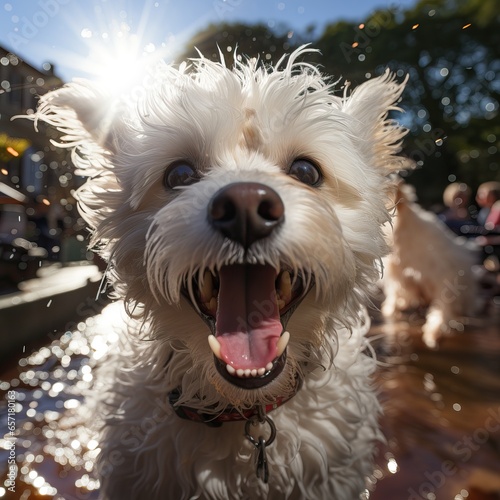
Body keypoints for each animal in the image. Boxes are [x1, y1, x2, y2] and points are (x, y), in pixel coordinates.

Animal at [380, 183, 478, 348]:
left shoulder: (444, 276)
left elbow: (442, 309)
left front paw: (434, 332)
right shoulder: (397, 274)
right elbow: (395, 292)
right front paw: (392, 307)